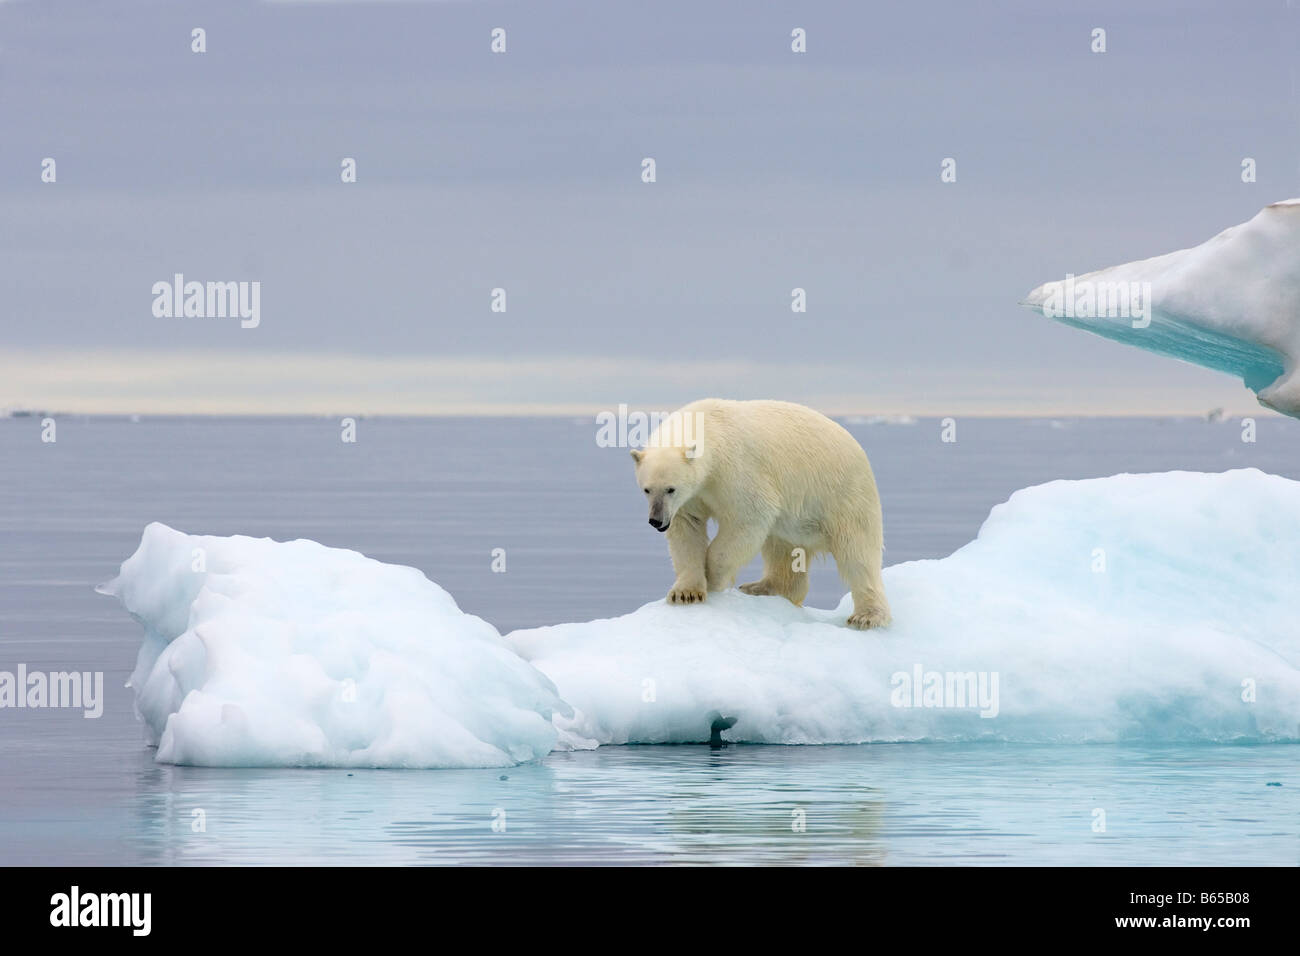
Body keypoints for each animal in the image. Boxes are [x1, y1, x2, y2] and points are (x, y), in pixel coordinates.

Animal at [629, 398, 891, 630]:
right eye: (647, 489)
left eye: (671, 489)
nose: (657, 521)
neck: (709, 426)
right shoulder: (692, 497)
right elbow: (687, 529)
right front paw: (686, 593)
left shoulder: (735, 470)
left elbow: (750, 516)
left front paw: (713, 577)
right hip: (795, 520)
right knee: (782, 549)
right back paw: (762, 587)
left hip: (843, 495)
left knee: (857, 552)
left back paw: (867, 616)